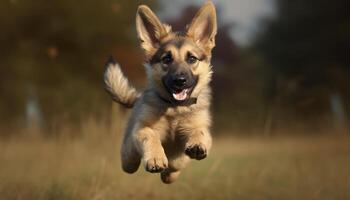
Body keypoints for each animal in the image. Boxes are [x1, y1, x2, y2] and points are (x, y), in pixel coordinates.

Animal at [104, 1, 216, 184]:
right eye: (167, 59)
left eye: (191, 59)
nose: (180, 80)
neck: (175, 109)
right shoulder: (142, 128)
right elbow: (150, 135)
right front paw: (156, 158)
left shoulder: (198, 127)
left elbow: (198, 134)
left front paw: (194, 148)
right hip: (128, 154)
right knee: (129, 162)